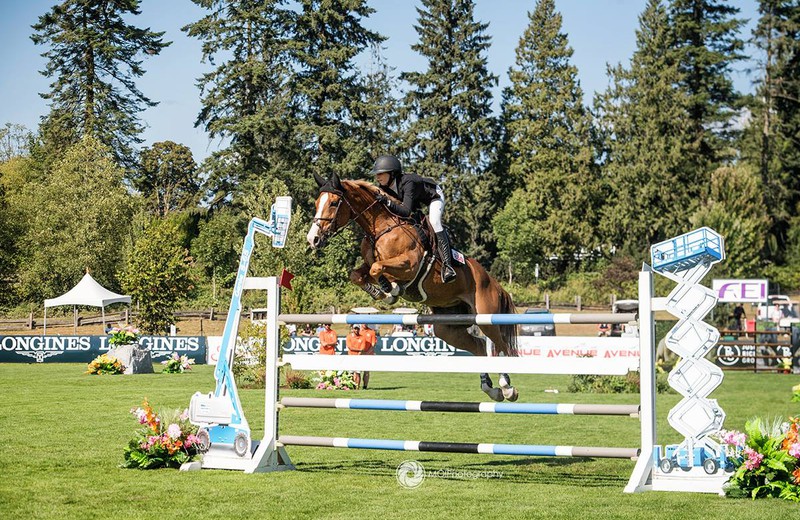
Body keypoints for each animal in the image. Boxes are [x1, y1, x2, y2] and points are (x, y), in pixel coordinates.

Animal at [304, 173, 520, 400]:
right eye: (316, 203)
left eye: (333, 203)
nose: (313, 239)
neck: (381, 228)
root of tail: (494, 283)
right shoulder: (368, 264)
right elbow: (358, 274)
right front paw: (382, 292)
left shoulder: (409, 265)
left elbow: (377, 268)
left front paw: (392, 289)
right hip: (448, 326)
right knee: (478, 346)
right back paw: (491, 389)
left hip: (486, 318)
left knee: (501, 346)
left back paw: (507, 387)